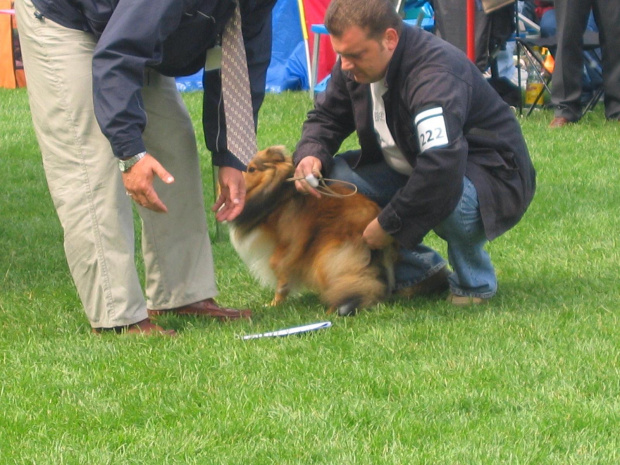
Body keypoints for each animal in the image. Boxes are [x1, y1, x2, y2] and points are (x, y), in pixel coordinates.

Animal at [228, 147, 398, 318]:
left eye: (251, 169)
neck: (279, 191)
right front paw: (275, 303)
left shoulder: (289, 240)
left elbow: (277, 263)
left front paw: (278, 297)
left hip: (328, 255)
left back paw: (332, 311)